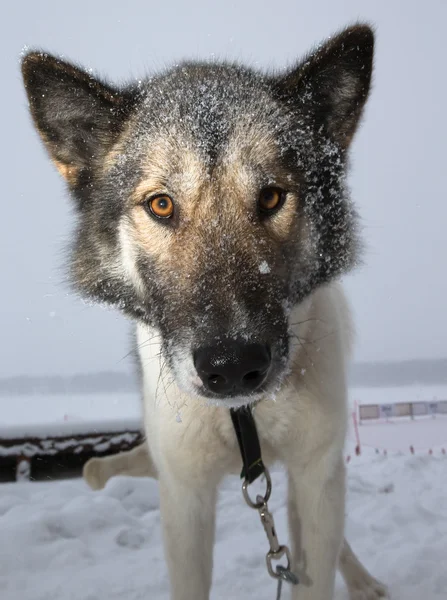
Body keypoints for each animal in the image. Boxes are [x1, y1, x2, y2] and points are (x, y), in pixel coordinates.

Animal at [21, 24, 388, 600]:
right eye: (161, 204)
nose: (233, 365)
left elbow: (317, 563)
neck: (244, 419)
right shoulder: (185, 496)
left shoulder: (316, 471)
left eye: (271, 197)